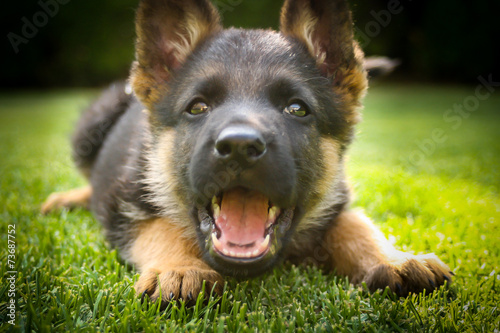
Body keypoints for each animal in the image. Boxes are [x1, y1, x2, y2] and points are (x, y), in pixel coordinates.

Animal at [43, 0, 454, 300]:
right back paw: (66, 198)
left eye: (297, 109)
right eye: (197, 107)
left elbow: (355, 223)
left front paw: (396, 259)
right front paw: (180, 268)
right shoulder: (123, 206)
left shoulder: (337, 197)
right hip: (93, 125)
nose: (239, 147)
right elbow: (159, 226)